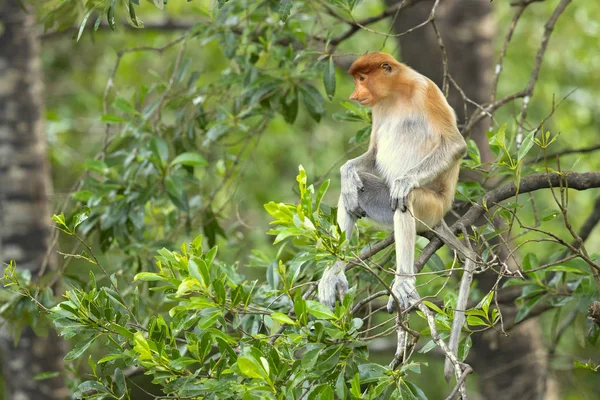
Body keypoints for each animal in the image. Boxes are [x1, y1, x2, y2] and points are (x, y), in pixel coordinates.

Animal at [318, 51, 468, 374]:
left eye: (362, 78)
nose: (355, 94)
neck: (397, 92)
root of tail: (441, 216)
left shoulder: (426, 90)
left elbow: (455, 145)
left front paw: (404, 180)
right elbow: (373, 155)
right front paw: (346, 172)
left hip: (431, 207)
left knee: (406, 200)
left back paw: (403, 282)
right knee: (354, 194)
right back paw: (334, 273)